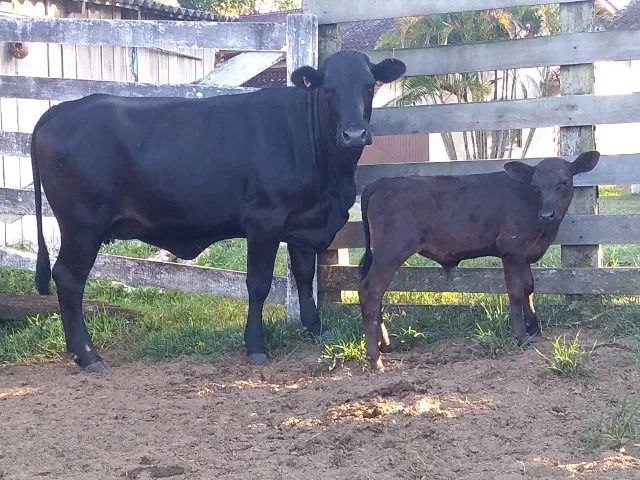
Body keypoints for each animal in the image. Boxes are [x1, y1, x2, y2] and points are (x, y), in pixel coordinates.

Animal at [31, 50, 406, 373]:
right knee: (69, 278)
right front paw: (256, 345)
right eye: (329, 90)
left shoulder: (303, 224)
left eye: (369, 86)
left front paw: (315, 328)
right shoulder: (264, 220)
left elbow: (303, 275)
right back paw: (87, 354)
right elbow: (258, 284)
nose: (354, 134)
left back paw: (76, 350)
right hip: (82, 225)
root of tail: (60, 111)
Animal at [358, 151, 600, 370]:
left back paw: (384, 345)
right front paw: (521, 335)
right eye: (535, 185)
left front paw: (534, 327)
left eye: (564, 181)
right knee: (370, 290)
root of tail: (381, 183)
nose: (547, 214)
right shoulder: (511, 250)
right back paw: (375, 358)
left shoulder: (524, 254)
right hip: (391, 251)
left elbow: (529, 287)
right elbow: (516, 291)